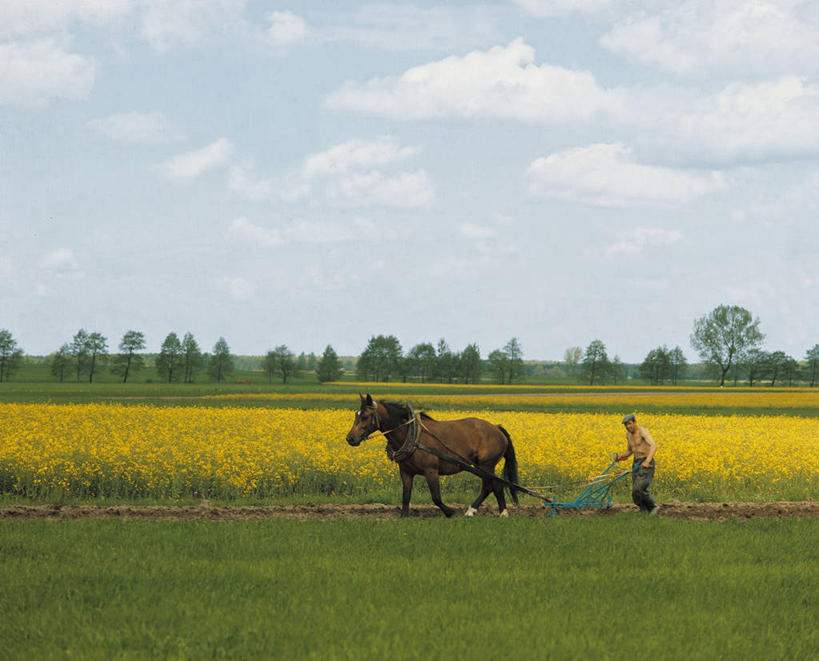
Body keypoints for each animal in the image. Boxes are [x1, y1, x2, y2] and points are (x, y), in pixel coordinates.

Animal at [346, 392, 520, 516]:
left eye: (365, 416)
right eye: (356, 414)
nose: (350, 438)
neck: (412, 435)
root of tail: (497, 428)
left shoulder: (431, 471)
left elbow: (436, 497)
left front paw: (450, 512)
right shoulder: (406, 472)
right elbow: (406, 495)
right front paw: (404, 516)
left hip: (486, 465)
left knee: (492, 485)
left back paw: (485, 511)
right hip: (480, 465)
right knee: (493, 485)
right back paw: (492, 512)